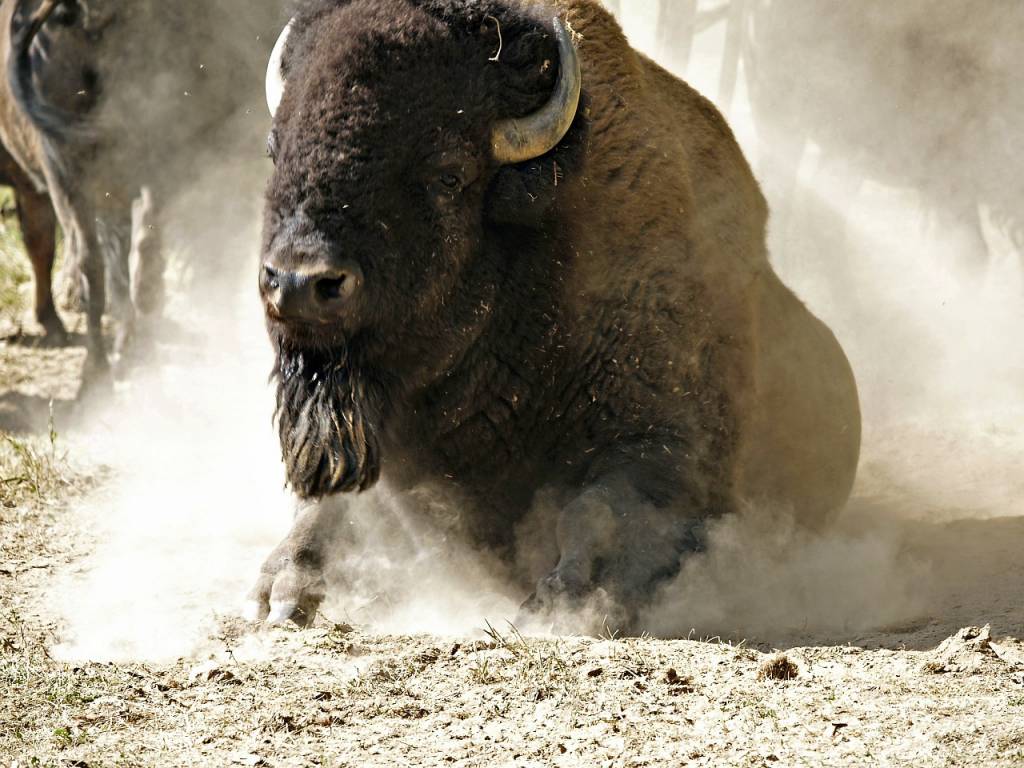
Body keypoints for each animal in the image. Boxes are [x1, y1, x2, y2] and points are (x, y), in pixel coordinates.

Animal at [248, 0, 861, 630]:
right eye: (275, 149)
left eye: (448, 173)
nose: (299, 281)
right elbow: (332, 509)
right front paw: (281, 590)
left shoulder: (669, 450)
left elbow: (595, 511)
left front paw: (562, 603)